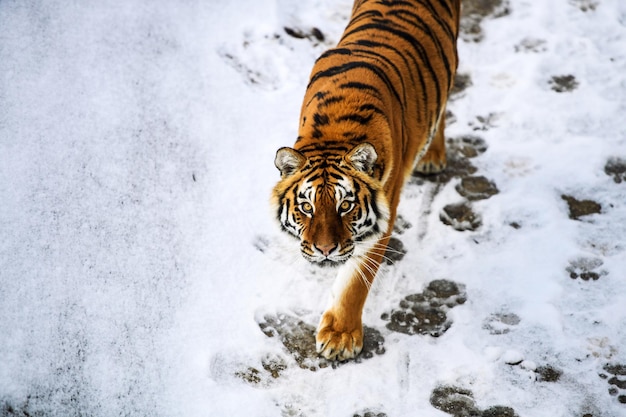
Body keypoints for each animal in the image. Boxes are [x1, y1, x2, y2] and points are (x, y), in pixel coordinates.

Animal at [270, 0, 460, 360]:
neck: (334, 134)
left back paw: (433, 156)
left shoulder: (384, 213)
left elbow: (356, 281)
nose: (324, 250)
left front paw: (340, 337)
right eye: (306, 206)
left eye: (345, 206)